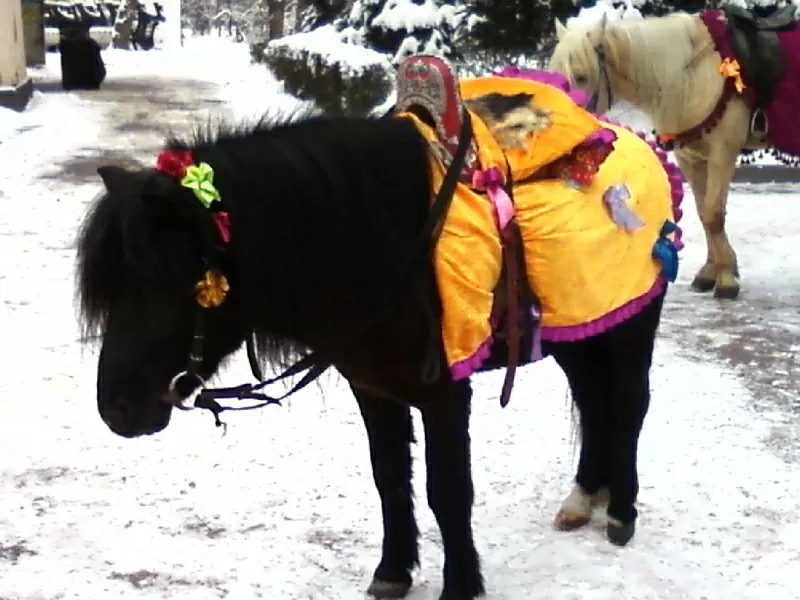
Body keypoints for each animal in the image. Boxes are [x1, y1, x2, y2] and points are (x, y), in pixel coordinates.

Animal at [76, 57, 680, 600]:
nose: (115, 410)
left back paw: (620, 510)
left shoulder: (443, 393)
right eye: (109, 290)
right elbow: (389, 478)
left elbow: (448, 491)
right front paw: (393, 570)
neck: (389, 242)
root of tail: (639, 143)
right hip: (581, 324)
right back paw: (583, 498)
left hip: (630, 323)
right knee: (595, 398)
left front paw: (461, 586)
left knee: (629, 402)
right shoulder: (374, 388)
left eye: (164, 285)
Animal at [552, 8, 800, 298]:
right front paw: (710, 273)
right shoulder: (691, 158)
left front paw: (727, 280)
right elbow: (704, 214)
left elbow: (714, 214)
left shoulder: (722, 153)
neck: (691, 75)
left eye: (581, 76)